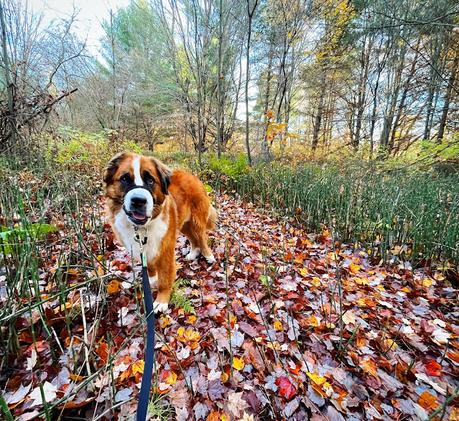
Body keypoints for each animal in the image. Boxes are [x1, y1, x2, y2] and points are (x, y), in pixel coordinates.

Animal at [104, 153, 217, 310]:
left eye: (150, 180)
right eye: (125, 179)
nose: (138, 201)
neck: (143, 227)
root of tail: (192, 175)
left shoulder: (166, 250)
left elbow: (165, 277)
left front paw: (162, 300)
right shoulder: (143, 249)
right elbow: (150, 267)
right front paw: (151, 280)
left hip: (196, 221)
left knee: (201, 238)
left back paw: (208, 256)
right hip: (183, 225)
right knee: (193, 239)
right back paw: (193, 253)